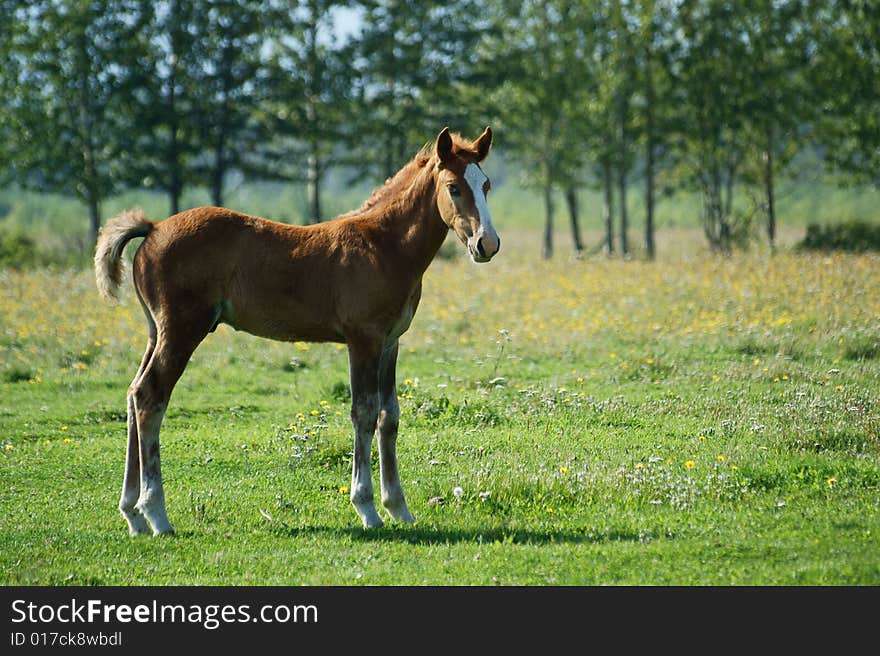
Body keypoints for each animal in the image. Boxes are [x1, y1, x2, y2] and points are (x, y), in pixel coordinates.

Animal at [96, 127, 502, 532]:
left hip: (157, 332)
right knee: (151, 396)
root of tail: (153, 228)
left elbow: (390, 416)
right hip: (182, 330)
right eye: (453, 187)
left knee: (133, 394)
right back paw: (156, 514)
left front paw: (398, 507)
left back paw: (132, 513)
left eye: (486, 185)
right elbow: (364, 413)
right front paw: (367, 508)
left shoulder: (390, 342)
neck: (384, 245)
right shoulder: (363, 339)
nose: (487, 243)